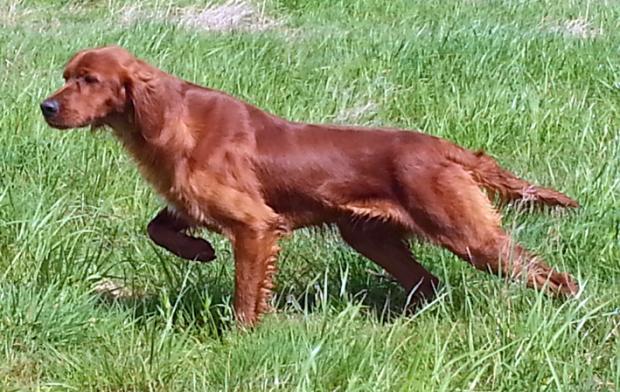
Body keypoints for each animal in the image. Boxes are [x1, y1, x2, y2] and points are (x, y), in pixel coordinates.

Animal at [41, 46, 580, 326]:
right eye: (66, 76)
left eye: (89, 80)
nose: (46, 107)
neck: (170, 119)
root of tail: (443, 147)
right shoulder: (191, 204)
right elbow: (159, 227)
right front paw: (199, 251)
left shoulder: (256, 225)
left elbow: (245, 297)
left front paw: (241, 337)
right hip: (369, 236)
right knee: (428, 283)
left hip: (467, 234)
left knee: (551, 277)